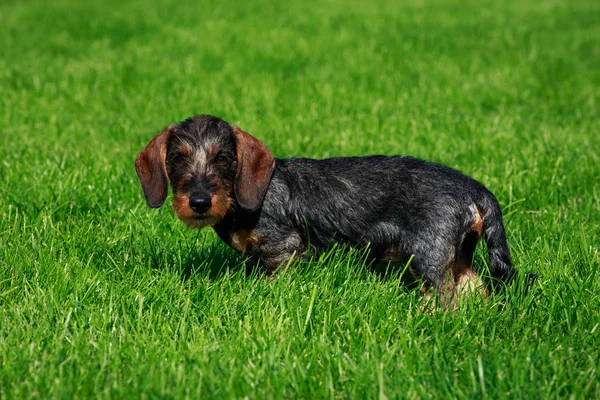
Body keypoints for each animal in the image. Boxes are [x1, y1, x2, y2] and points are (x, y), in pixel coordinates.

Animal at [135, 114, 520, 304]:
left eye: (223, 158)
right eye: (177, 158)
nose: (199, 202)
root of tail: (474, 187)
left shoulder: (284, 248)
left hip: (427, 254)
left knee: (445, 296)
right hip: (458, 255)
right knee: (474, 287)